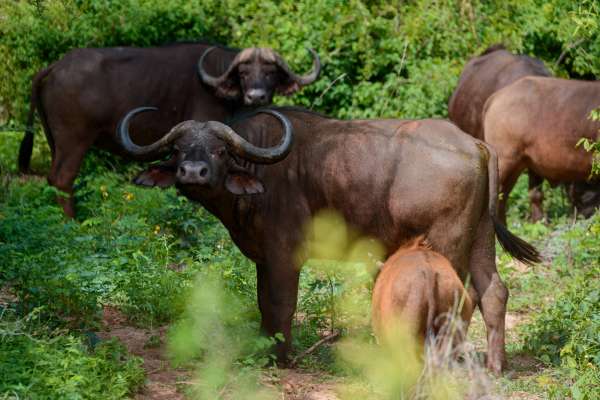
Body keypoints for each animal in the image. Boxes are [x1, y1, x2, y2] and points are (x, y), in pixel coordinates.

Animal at [17, 42, 318, 217]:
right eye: (243, 73)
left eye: (270, 72)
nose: (257, 96)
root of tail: (53, 67)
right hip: (74, 139)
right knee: (62, 178)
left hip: (54, 139)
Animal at [116, 107, 540, 376]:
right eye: (178, 149)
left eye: (220, 150)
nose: (192, 172)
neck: (261, 174)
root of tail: (475, 145)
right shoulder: (263, 259)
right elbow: (262, 303)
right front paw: (265, 349)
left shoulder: (284, 256)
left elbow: (280, 304)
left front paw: (280, 357)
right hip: (481, 237)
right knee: (494, 292)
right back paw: (495, 366)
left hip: (447, 243)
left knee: (464, 297)